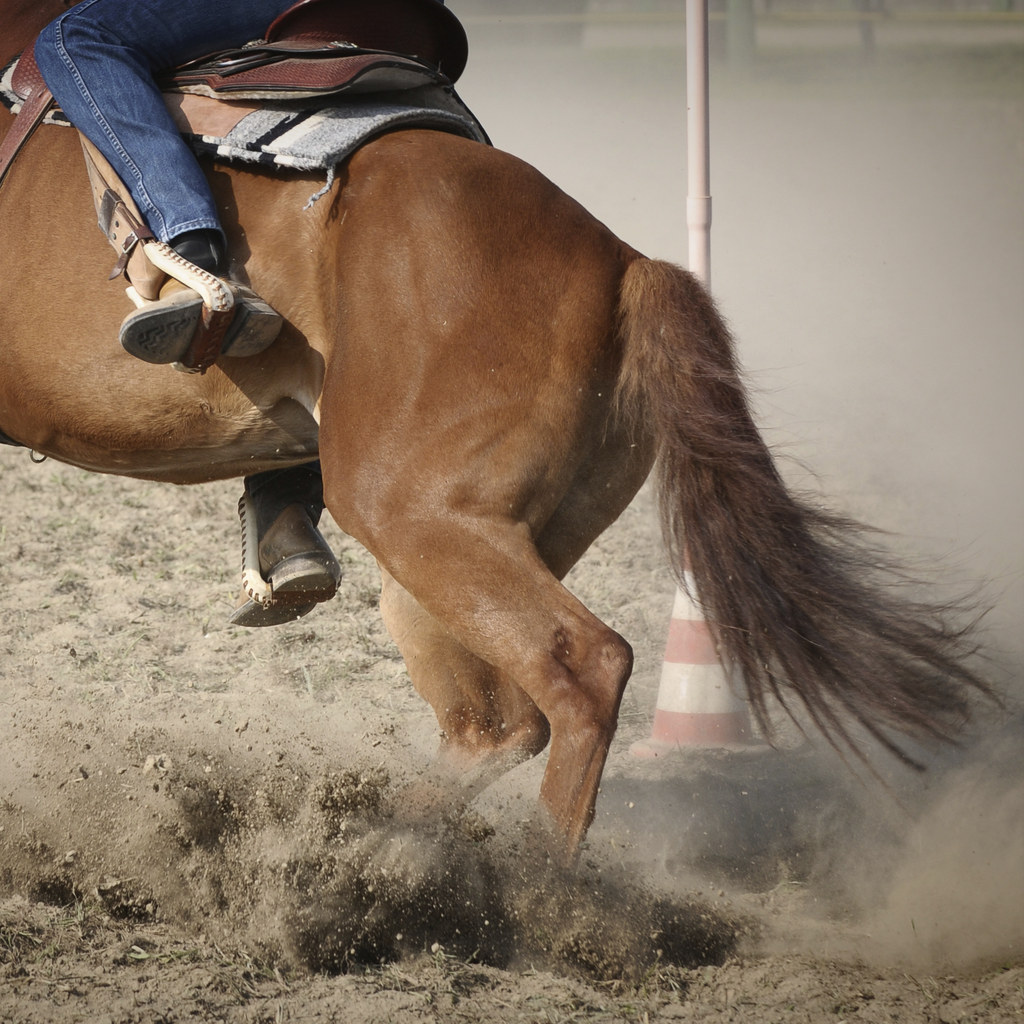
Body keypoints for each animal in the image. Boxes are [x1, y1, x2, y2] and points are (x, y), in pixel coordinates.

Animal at [2, 2, 991, 856]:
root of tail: (623, 262)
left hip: (417, 516)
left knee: (584, 670)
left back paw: (538, 895)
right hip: (459, 551)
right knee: (501, 724)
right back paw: (373, 856)